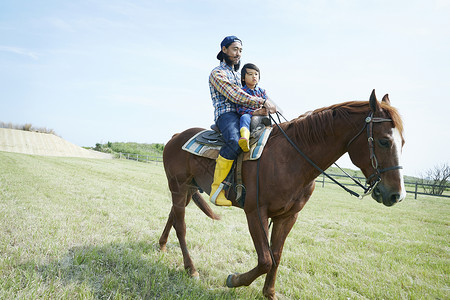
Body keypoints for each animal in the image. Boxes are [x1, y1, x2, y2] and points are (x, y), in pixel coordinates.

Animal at [160, 90, 406, 298]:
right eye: (384, 141)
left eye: (402, 142)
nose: (397, 195)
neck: (291, 158)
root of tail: (176, 136)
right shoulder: (255, 212)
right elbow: (265, 260)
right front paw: (234, 279)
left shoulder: (288, 216)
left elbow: (276, 255)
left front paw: (269, 293)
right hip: (178, 187)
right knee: (181, 225)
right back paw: (191, 269)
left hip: (189, 190)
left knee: (173, 215)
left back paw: (162, 245)